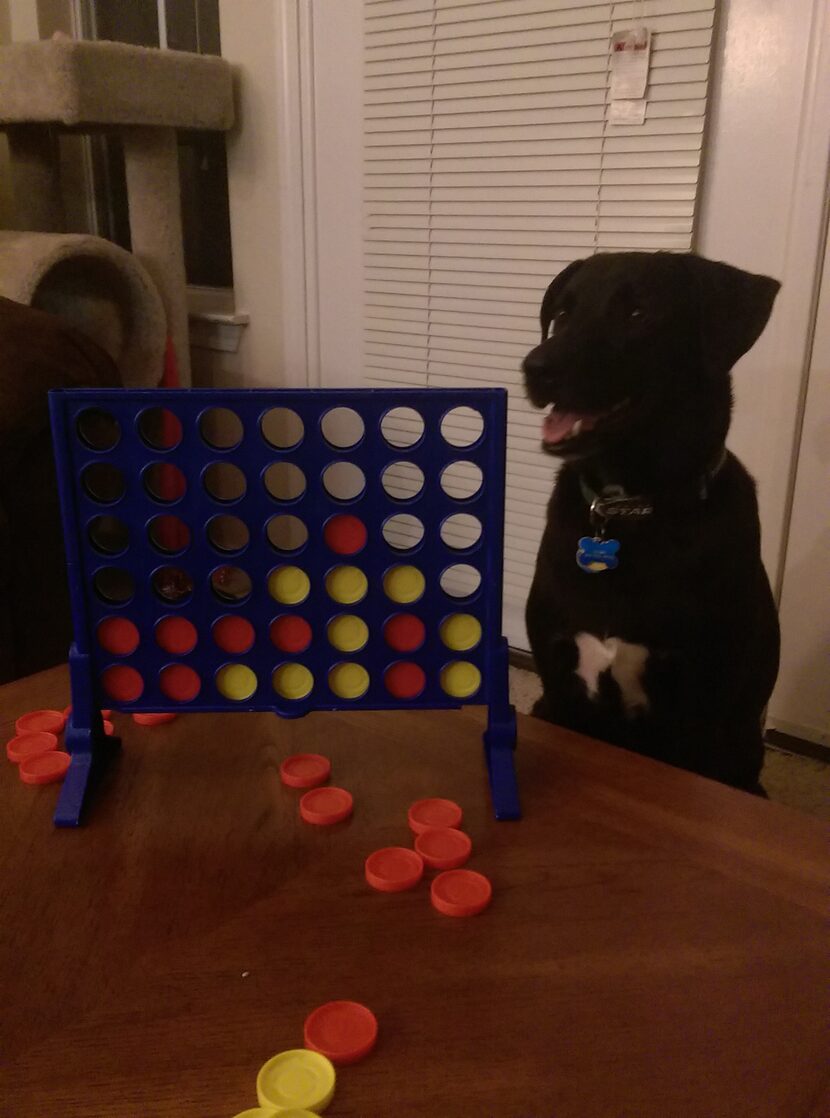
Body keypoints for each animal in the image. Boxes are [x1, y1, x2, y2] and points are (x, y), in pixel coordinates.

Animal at [523, 254, 783, 791]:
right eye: (562, 313)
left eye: (637, 313)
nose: (536, 368)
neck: (628, 510)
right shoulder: (557, 686)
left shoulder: (699, 713)